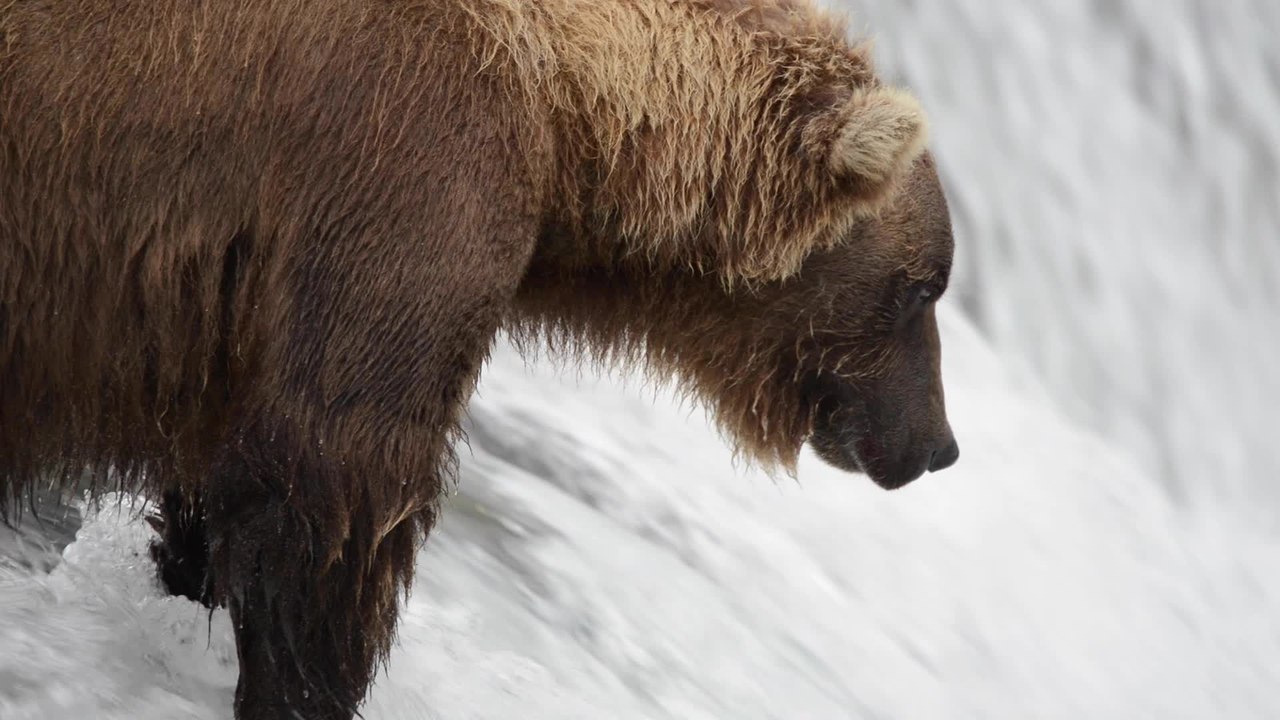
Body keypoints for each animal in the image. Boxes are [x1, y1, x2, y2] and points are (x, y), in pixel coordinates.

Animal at [0, 0, 958, 718]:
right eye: (924, 290)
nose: (939, 445)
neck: (573, 116)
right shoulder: (407, 177)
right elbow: (332, 482)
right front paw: (303, 684)